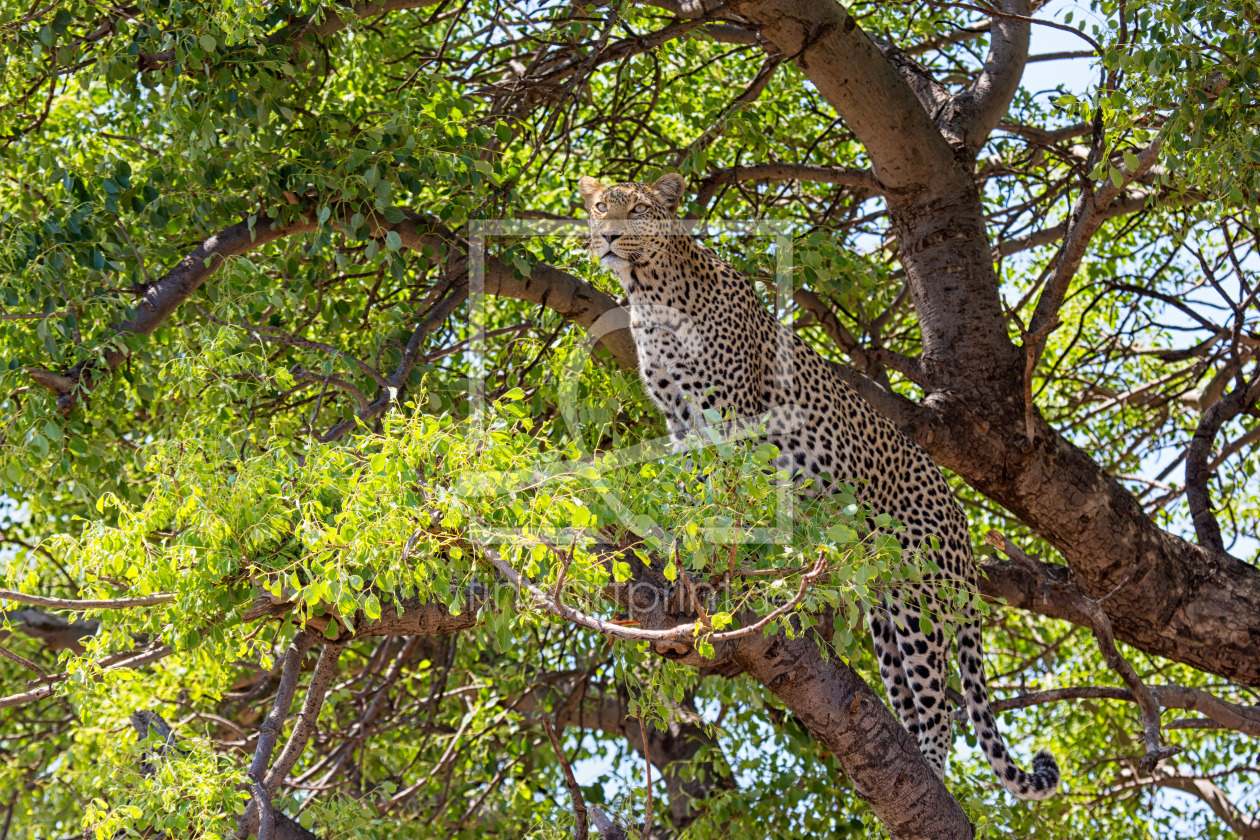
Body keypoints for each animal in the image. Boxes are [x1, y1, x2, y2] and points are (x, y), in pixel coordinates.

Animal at [578, 172, 1060, 800]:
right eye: (598, 207)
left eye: (636, 210)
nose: (609, 235)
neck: (647, 296)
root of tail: (963, 525)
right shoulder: (680, 422)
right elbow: (694, 490)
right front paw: (682, 548)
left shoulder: (732, 414)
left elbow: (729, 491)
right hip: (884, 612)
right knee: (910, 697)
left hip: (921, 601)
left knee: (940, 706)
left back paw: (930, 774)